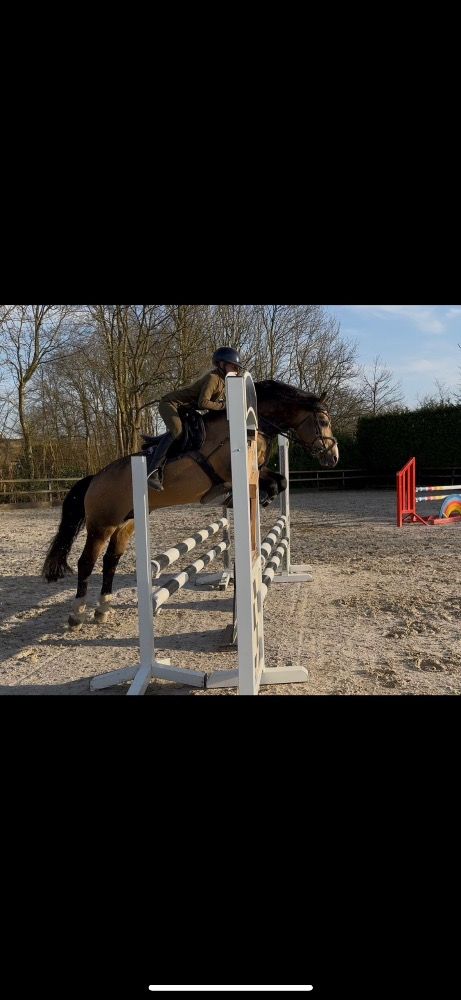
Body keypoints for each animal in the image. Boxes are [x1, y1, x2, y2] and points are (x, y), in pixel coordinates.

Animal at [42, 379, 339, 626]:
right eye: (323, 421)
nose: (333, 456)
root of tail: (95, 478)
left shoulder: (258, 472)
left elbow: (280, 482)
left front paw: (261, 497)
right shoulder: (231, 471)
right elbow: (271, 483)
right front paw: (239, 497)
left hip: (126, 523)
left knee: (110, 561)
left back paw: (102, 610)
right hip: (101, 524)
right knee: (86, 563)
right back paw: (77, 615)